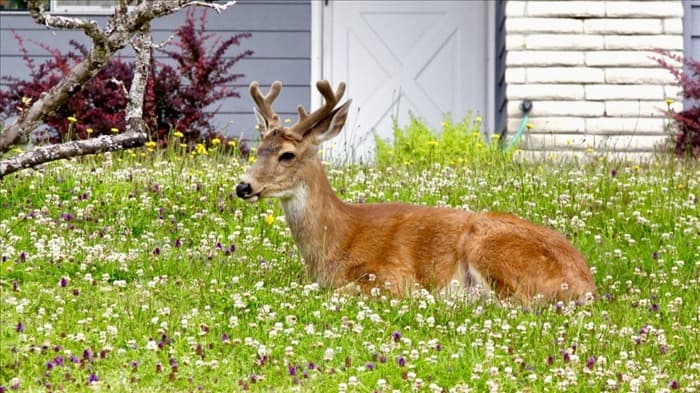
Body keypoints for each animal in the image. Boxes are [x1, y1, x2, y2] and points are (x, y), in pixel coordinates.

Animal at [235, 79, 596, 300]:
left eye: (287, 155)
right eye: (259, 149)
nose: (243, 186)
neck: (336, 241)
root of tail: (586, 283)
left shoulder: (393, 276)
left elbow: (342, 290)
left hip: (489, 247)